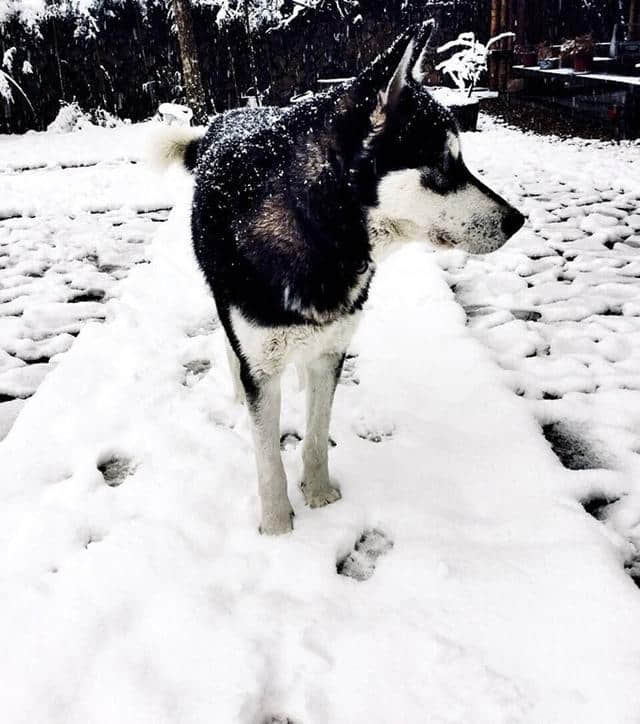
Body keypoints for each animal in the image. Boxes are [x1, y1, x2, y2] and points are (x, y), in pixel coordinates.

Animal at [152, 22, 524, 536]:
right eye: (444, 166)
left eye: (461, 160)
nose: (518, 220)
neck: (316, 229)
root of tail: (224, 121)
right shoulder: (260, 363)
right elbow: (268, 459)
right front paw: (277, 526)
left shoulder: (332, 351)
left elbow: (314, 435)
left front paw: (320, 496)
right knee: (232, 352)